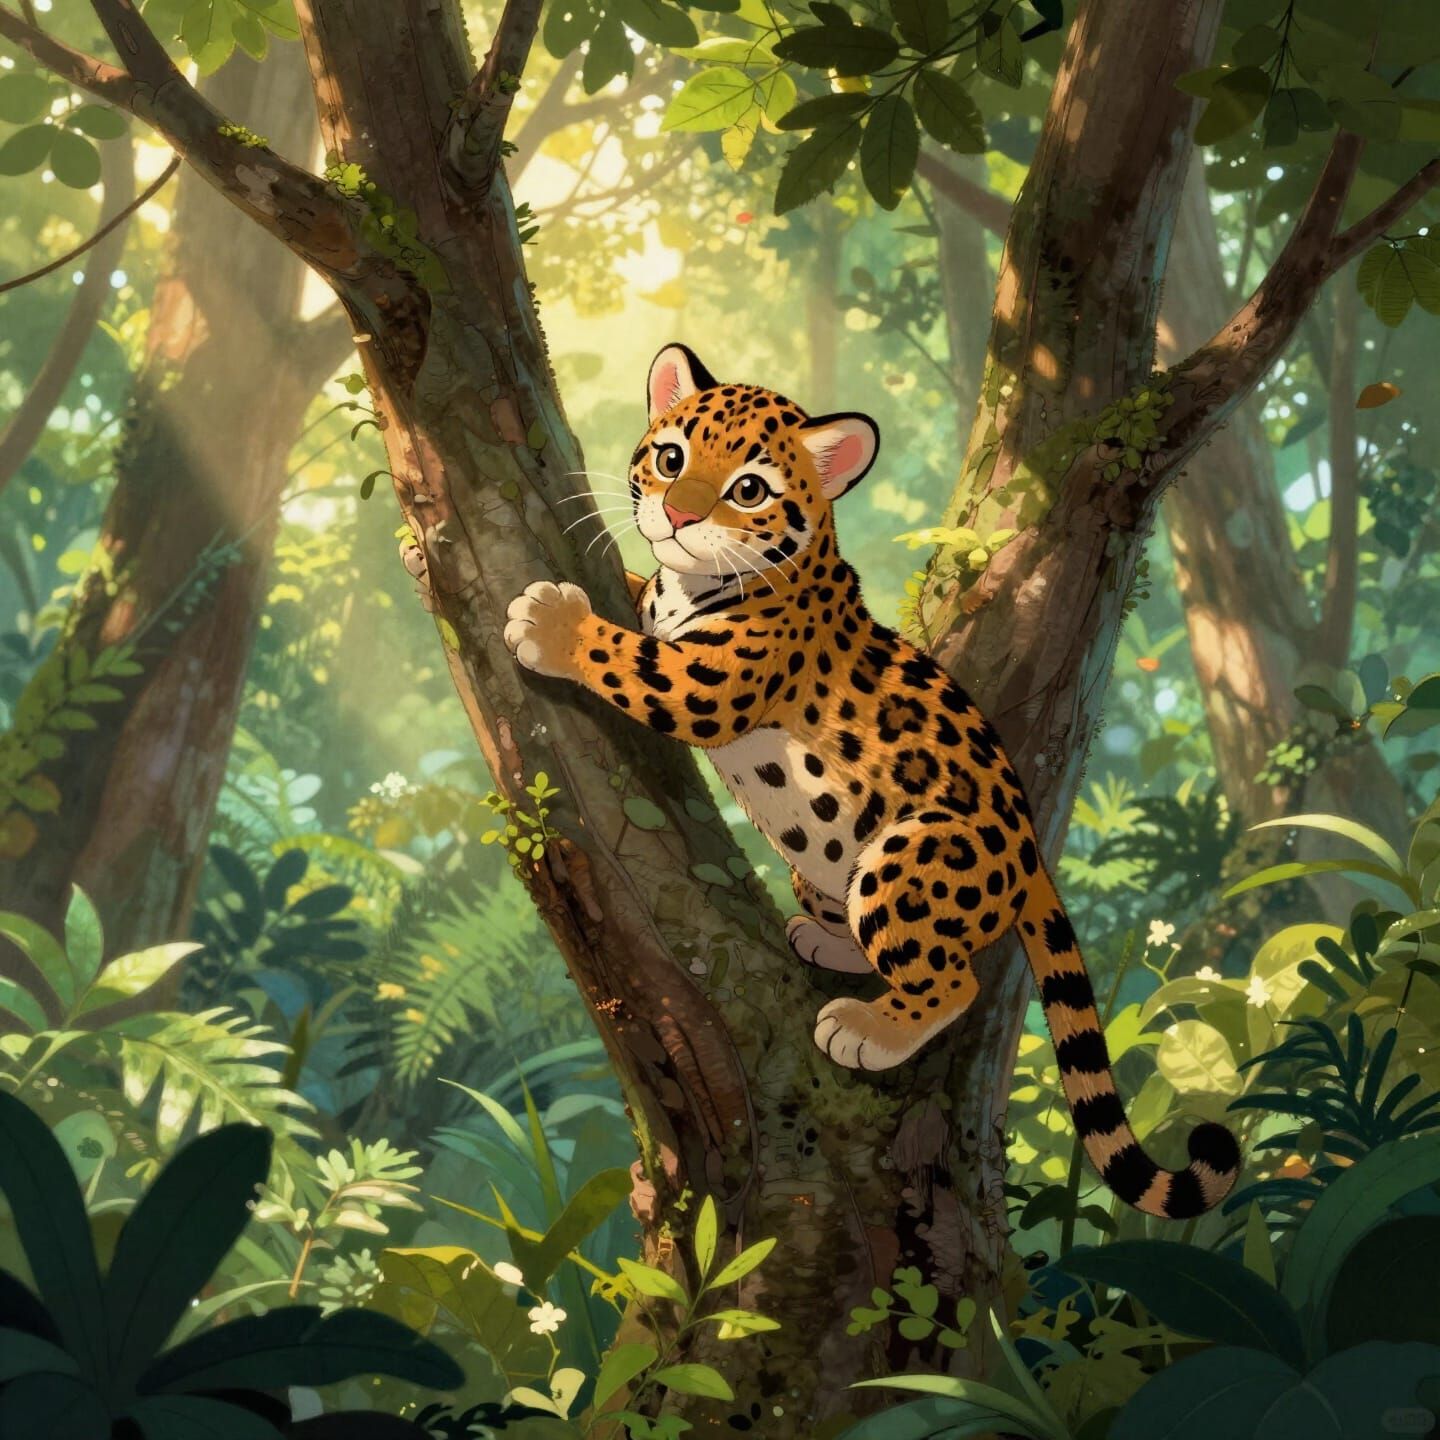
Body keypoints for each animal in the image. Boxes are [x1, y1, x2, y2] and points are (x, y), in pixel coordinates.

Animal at [504, 343, 1240, 1218]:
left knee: (952, 980)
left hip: (911, 854)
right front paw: (617, 574)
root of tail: (1032, 857)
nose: (678, 517)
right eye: (672, 458)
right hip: (822, 862)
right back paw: (825, 938)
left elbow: (627, 657)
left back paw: (865, 1028)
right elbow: (638, 606)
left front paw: (548, 622)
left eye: (748, 490)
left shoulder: (708, 684)